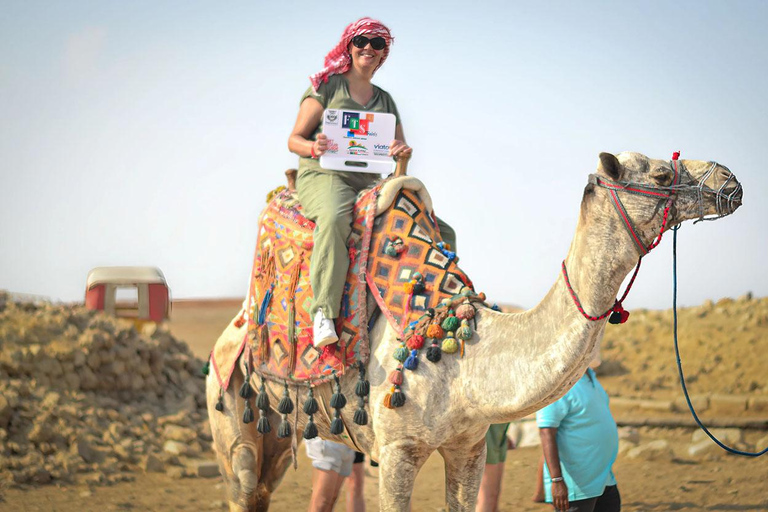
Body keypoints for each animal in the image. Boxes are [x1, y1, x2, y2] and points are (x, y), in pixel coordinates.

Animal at [206, 153, 744, 512]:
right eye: (660, 174)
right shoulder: (397, 450)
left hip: (279, 432)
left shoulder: (469, 446)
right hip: (230, 411)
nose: (730, 180)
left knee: (263, 489)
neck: (464, 358)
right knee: (243, 485)